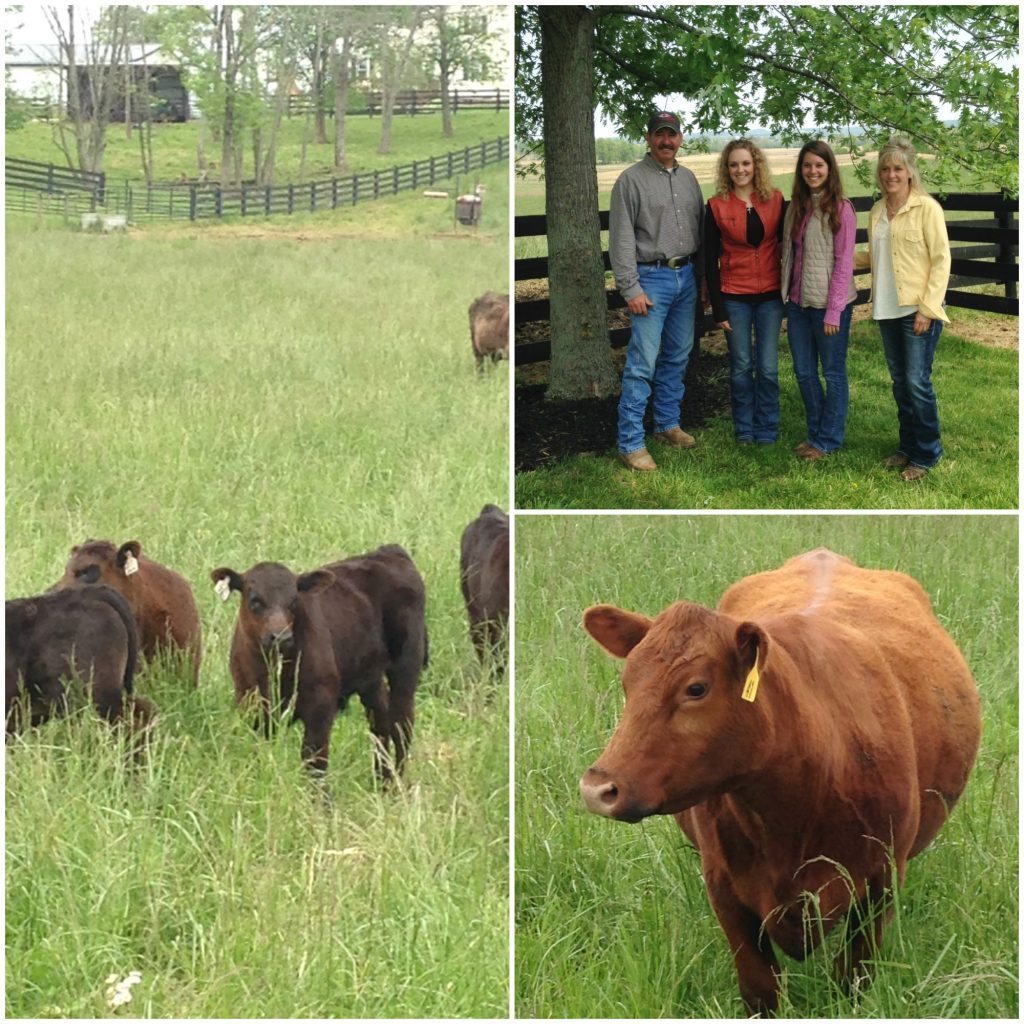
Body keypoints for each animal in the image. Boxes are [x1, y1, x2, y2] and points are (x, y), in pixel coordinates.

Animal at [211, 548, 428, 778]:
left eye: (294, 600)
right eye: (255, 600)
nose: (281, 637)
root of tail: (389, 551)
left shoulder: (321, 705)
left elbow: (314, 760)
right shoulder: (251, 702)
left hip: (406, 667)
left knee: (402, 726)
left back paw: (396, 782)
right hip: (370, 676)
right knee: (380, 722)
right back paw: (381, 777)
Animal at [581, 548, 978, 1011]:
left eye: (696, 688)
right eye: (627, 683)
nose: (597, 789)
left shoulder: (882, 880)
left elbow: (852, 980)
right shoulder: (725, 889)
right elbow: (761, 989)